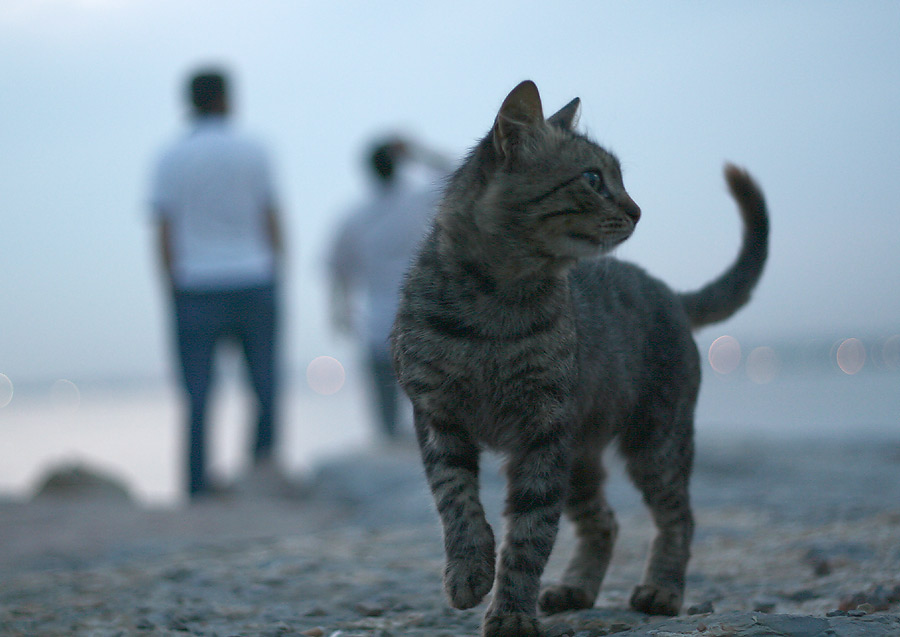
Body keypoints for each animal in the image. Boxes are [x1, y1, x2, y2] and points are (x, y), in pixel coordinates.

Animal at [390, 80, 768, 636]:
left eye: (620, 179)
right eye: (593, 178)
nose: (637, 210)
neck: (494, 307)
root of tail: (670, 293)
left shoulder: (543, 432)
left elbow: (529, 533)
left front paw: (511, 612)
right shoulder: (438, 417)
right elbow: (456, 501)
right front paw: (468, 569)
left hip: (655, 440)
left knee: (678, 517)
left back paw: (661, 589)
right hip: (583, 458)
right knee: (604, 522)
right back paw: (576, 589)